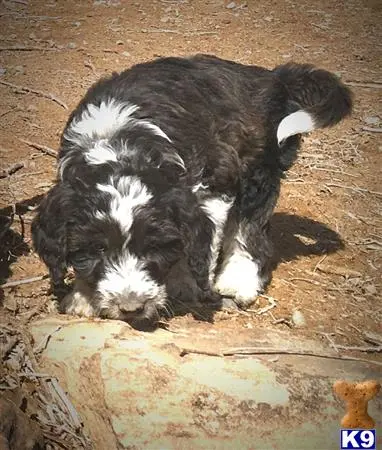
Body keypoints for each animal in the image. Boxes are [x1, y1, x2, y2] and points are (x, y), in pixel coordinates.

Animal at [32, 54, 352, 326]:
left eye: (153, 248)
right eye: (98, 249)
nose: (131, 308)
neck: (120, 143)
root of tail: (274, 78)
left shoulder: (215, 183)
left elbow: (202, 242)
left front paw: (185, 281)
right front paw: (83, 296)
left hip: (260, 168)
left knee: (250, 227)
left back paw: (238, 280)